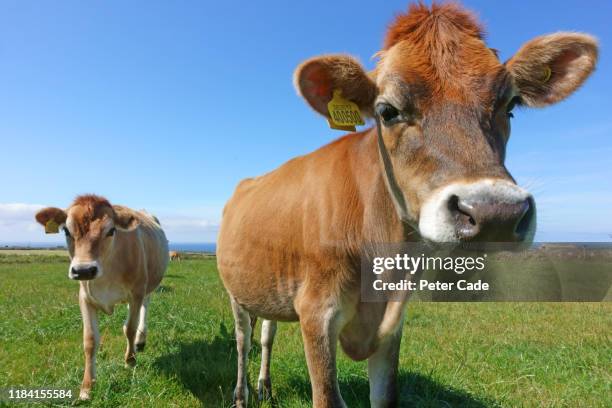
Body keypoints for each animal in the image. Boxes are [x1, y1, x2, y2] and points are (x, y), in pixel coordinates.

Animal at [34, 195, 169, 402]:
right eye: (66, 230)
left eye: (111, 230)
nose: (84, 270)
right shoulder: (85, 298)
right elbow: (90, 340)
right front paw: (87, 387)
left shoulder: (136, 292)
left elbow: (129, 329)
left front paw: (130, 360)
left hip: (148, 287)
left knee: (143, 310)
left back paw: (140, 340)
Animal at [216, 3, 596, 408]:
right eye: (387, 111)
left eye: (510, 105)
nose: (495, 213)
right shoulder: (316, 311)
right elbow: (326, 396)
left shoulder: (392, 323)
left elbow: (386, 396)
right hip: (235, 292)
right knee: (242, 341)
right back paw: (241, 394)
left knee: (267, 334)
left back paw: (265, 387)